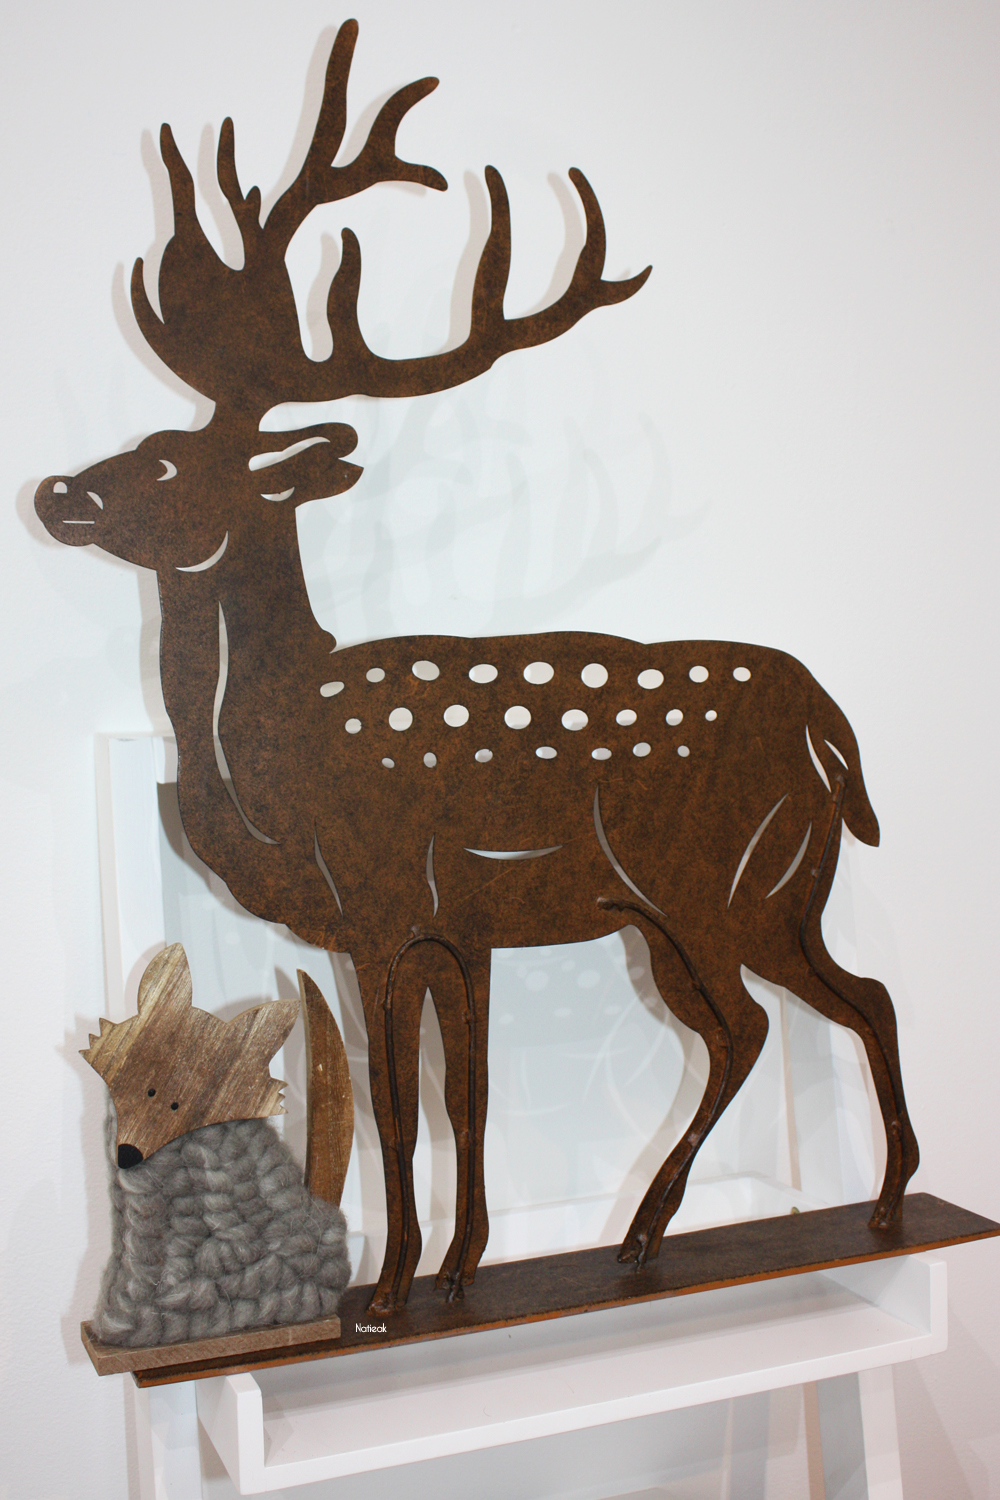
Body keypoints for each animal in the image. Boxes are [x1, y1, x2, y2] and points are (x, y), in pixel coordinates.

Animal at [34, 20, 918, 1315]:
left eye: (164, 462)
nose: (55, 491)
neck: (271, 772)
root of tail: (829, 726)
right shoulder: (469, 928)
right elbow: (470, 1098)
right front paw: (457, 1272)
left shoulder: (381, 906)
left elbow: (398, 1109)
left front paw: (384, 1299)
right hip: (770, 892)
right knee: (849, 1001)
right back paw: (856, 1207)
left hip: (712, 888)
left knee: (756, 1027)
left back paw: (666, 1228)